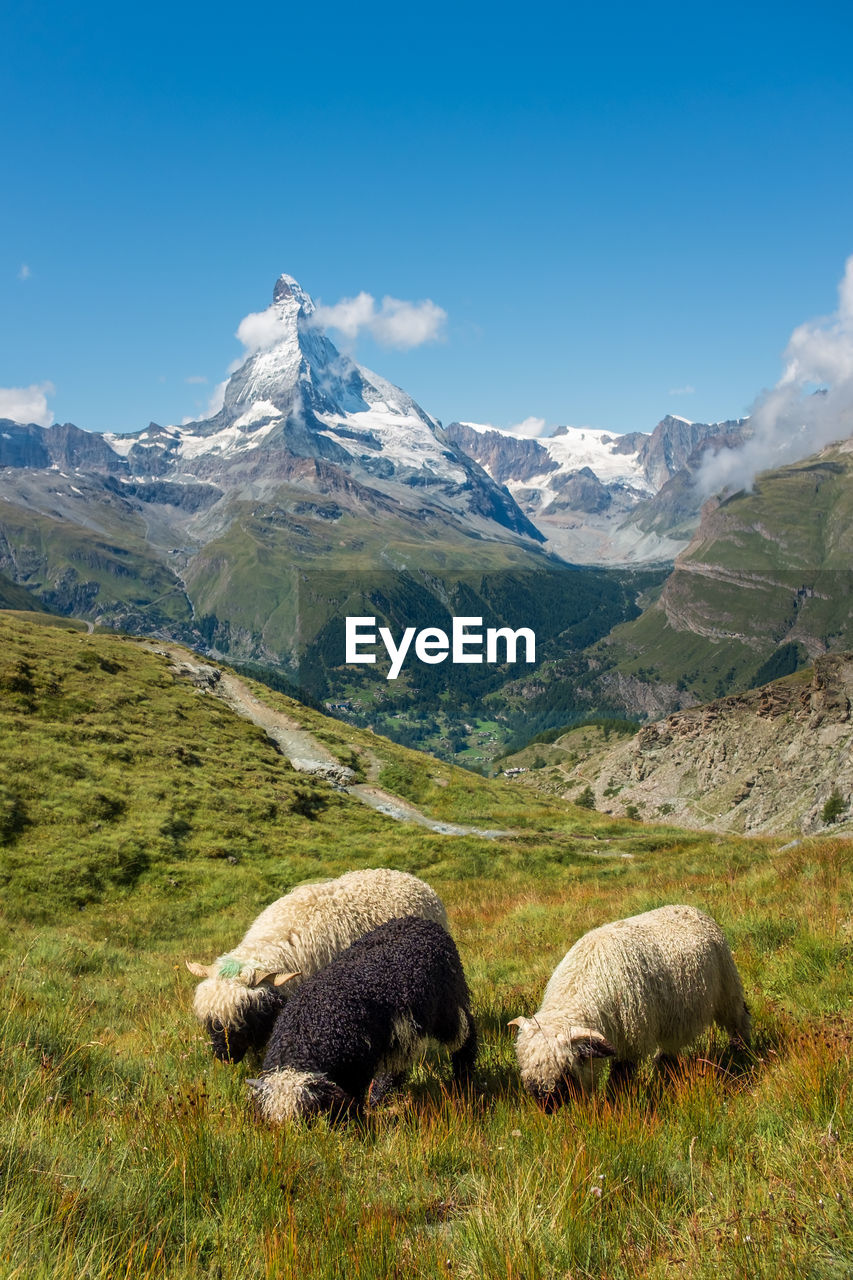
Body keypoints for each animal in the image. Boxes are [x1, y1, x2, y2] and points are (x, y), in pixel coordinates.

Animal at [245, 921, 473, 1121]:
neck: (305, 1032)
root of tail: (423, 922)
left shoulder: (357, 1071)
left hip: (449, 1005)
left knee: (466, 1036)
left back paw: (464, 1080)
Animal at [507, 906, 747, 1105]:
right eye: (524, 1066)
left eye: (567, 1069)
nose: (547, 1107)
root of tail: (691, 908)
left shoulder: (632, 1039)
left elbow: (620, 1077)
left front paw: (612, 1105)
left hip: (727, 987)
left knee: (739, 1019)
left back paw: (742, 1052)